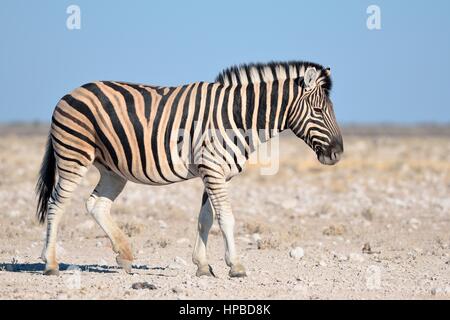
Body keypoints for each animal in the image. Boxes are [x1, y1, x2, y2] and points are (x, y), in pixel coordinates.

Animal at [36, 61, 344, 276]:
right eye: (318, 111)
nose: (338, 153)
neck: (237, 116)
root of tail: (69, 93)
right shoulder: (213, 169)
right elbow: (226, 218)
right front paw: (236, 266)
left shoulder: (215, 172)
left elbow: (205, 219)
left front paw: (203, 266)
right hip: (74, 155)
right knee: (56, 204)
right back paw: (50, 263)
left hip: (113, 170)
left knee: (95, 205)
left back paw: (125, 256)